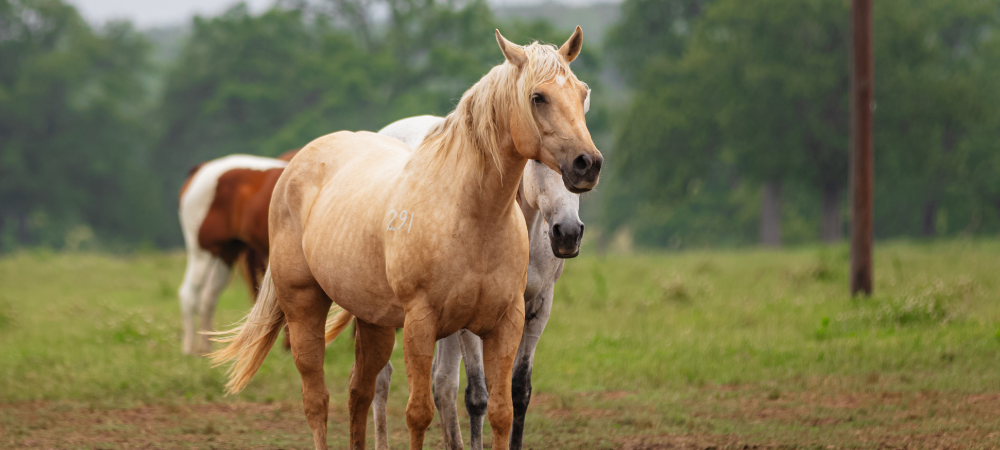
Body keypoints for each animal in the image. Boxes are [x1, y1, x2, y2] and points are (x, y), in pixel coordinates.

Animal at [176, 149, 296, 354]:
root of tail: (202, 168)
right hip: (202, 253)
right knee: (189, 295)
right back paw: (189, 349)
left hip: (226, 254)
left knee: (208, 298)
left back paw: (206, 348)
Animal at [366, 114, 588, 448]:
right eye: (537, 160)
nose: (569, 233)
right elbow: (477, 396)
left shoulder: (537, 306)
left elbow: (518, 391)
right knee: (384, 377)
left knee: (441, 383)